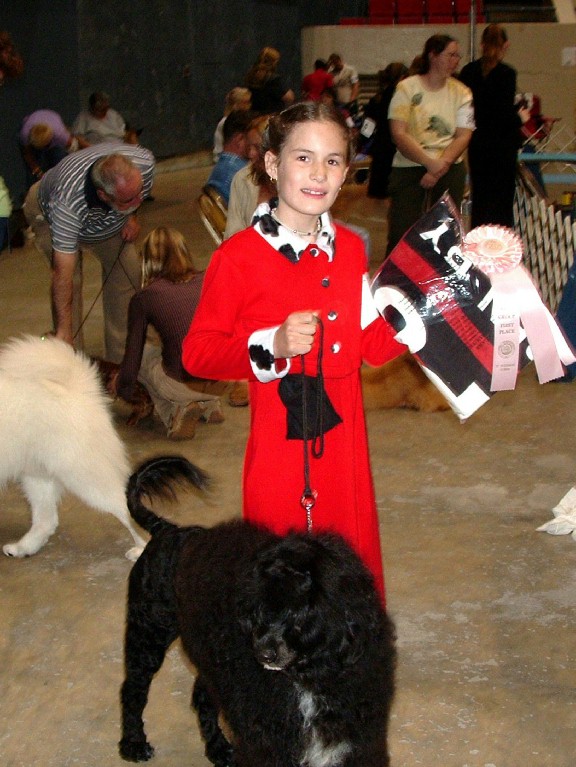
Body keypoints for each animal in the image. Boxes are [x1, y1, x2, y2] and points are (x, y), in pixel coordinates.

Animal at [0, 334, 146, 560]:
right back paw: (22, 548)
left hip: (84, 477)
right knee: (46, 521)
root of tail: (78, 391)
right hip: (37, 475)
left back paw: (142, 549)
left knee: (126, 507)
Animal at [118, 460, 396, 764]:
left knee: (202, 697)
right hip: (147, 634)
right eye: (258, 610)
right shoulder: (265, 737)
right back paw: (133, 744)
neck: (306, 677)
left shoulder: (355, 731)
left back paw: (218, 749)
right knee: (133, 691)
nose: (263, 654)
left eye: (299, 613)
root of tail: (167, 530)